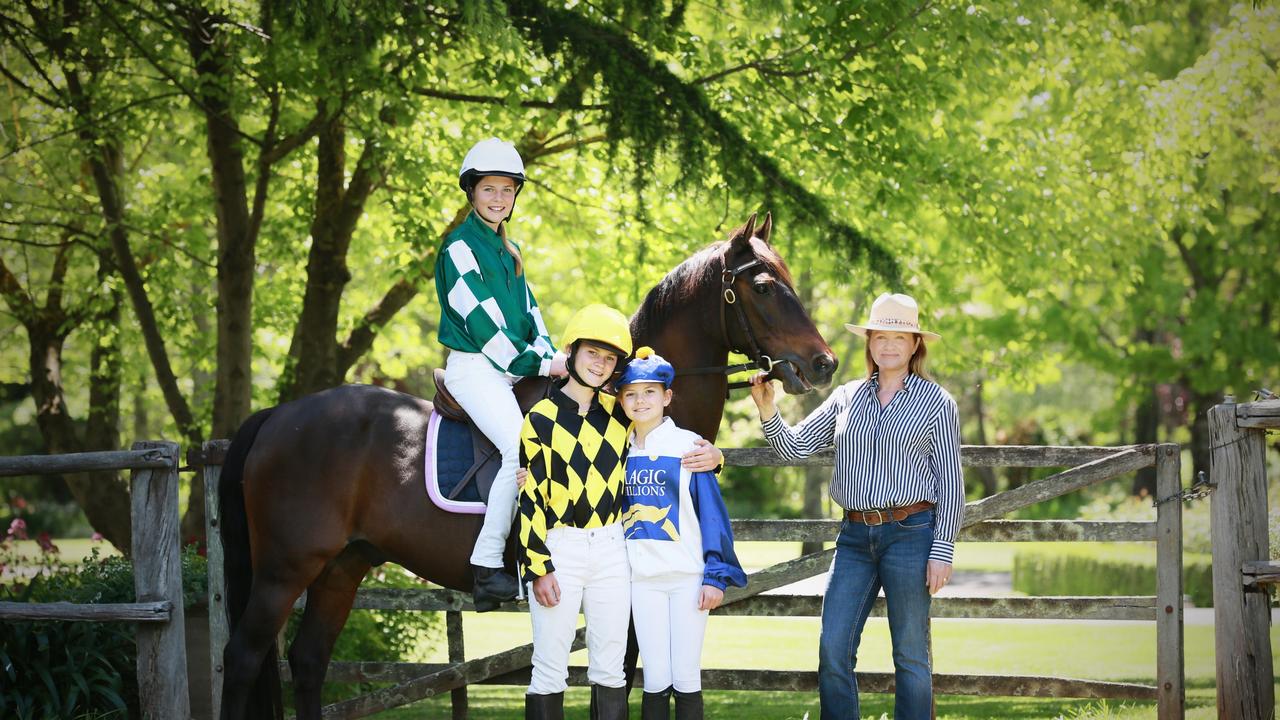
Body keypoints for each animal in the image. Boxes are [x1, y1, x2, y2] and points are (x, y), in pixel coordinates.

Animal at [215, 210, 834, 712]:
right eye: (762, 287)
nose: (822, 363)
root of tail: (278, 416)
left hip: (341, 568)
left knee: (308, 662)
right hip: (284, 570)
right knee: (243, 658)